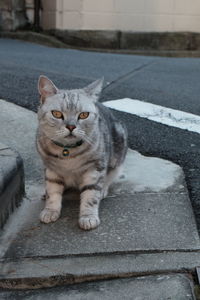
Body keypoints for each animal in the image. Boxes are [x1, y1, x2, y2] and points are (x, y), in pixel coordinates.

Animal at [36, 75, 127, 230]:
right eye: (57, 114)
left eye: (84, 115)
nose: (71, 126)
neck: (67, 151)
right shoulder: (51, 169)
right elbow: (53, 191)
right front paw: (50, 210)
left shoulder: (95, 168)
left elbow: (90, 195)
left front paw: (88, 216)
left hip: (117, 155)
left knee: (109, 177)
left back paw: (103, 189)